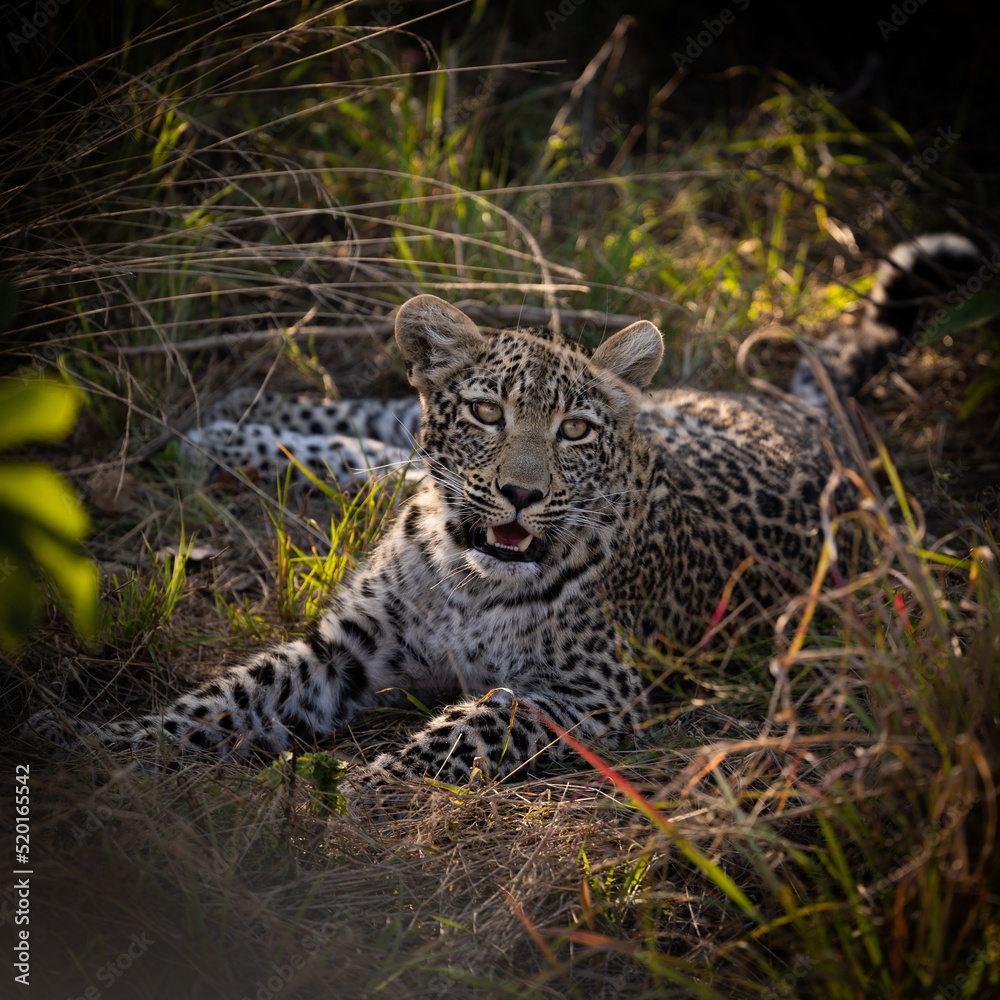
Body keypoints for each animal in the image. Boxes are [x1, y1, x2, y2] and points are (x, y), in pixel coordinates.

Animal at [25, 233, 982, 796]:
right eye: (488, 413)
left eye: (576, 430)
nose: (521, 491)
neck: (465, 579)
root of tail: (815, 424)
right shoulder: (343, 649)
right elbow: (225, 696)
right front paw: (107, 741)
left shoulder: (593, 690)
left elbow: (480, 721)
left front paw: (373, 782)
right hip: (408, 442)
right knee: (368, 435)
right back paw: (219, 424)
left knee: (365, 457)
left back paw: (212, 436)